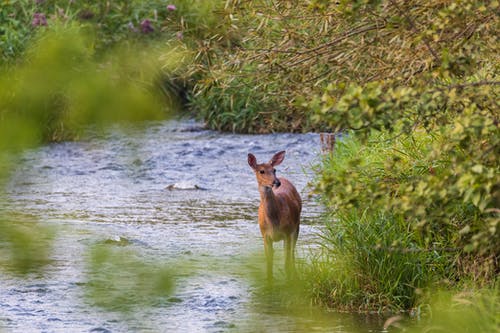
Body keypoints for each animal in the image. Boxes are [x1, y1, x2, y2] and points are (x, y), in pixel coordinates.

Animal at [247, 150, 300, 280]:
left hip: (297, 226)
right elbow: (269, 265)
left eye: (274, 169)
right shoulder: (265, 236)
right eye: (261, 171)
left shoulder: (287, 232)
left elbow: (286, 262)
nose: (276, 182)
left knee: (292, 253)